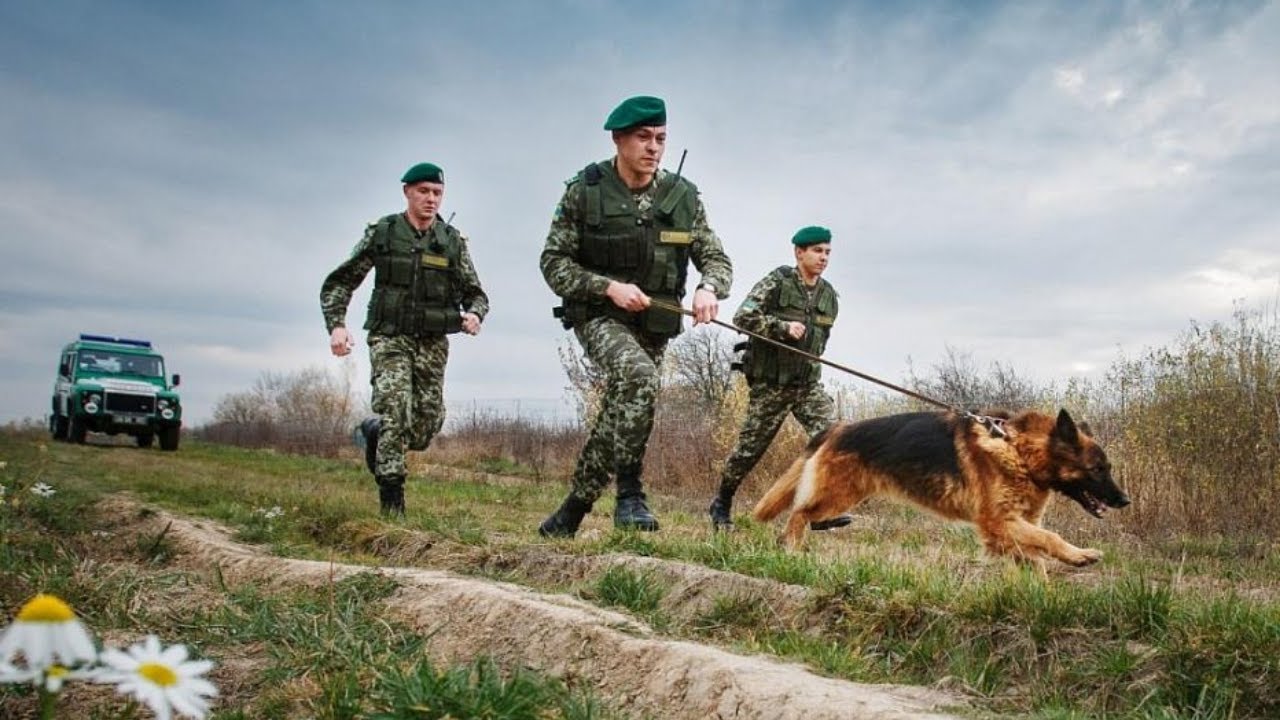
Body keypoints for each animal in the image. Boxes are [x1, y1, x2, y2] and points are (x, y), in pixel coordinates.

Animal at [747, 407, 1131, 568]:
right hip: (837, 495)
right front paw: (1078, 556)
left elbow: (1036, 549)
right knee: (798, 514)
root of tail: (837, 428)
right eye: (1097, 470)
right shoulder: (997, 522)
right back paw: (791, 549)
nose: (1125, 501)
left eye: (1108, 468)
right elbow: (1051, 538)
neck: (1019, 451)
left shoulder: (1012, 526)